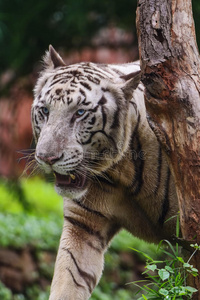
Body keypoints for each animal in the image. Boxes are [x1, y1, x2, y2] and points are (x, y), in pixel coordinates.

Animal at [32, 45, 177, 300]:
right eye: (45, 111)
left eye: (80, 113)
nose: (47, 158)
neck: (120, 171)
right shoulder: (83, 225)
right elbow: (69, 280)